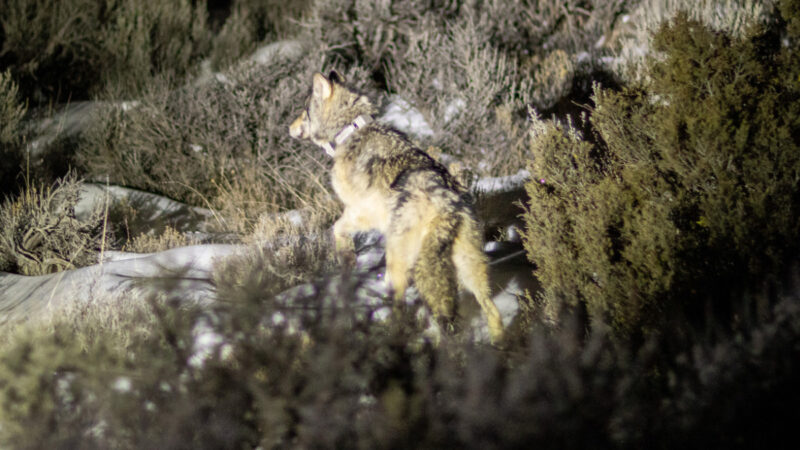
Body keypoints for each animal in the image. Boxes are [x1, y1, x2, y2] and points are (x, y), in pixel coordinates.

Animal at [288, 72, 504, 342]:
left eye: (304, 112)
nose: (288, 127)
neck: (349, 130)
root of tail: (445, 205)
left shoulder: (362, 212)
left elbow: (337, 228)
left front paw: (346, 257)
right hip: (469, 268)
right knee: (492, 309)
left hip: (401, 259)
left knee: (401, 307)